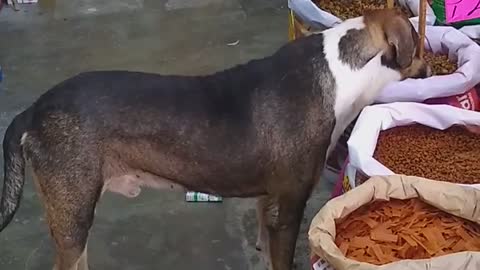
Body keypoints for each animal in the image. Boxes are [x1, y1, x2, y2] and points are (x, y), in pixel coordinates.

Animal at [0, 7, 428, 270]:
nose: (429, 68)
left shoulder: (268, 203)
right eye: (418, 40)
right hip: (73, 214)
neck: (341, 75)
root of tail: (32, 111)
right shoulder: (288, 208)